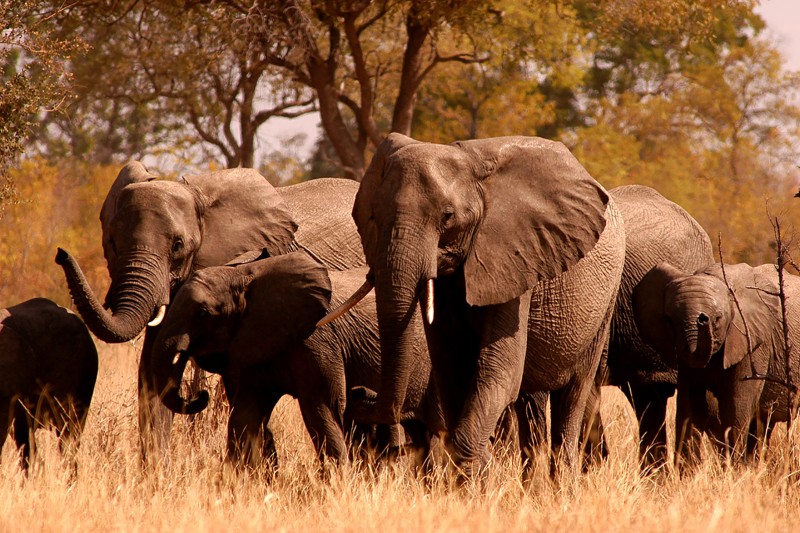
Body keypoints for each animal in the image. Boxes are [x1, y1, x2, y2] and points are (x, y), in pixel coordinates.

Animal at [149, 250, 443, 473]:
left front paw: (337, 486)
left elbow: (322, 409)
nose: (201, 395)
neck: (245, 275)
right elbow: (245, 414)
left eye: (202, 314)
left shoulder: (318, 340)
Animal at [336, 133, 626, 478]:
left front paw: (477, 472)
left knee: (573, 394)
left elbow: (499, 370)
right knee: (530, 403)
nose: (357, 393)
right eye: (373, 217)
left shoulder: (514, 256)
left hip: (605, 300)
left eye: (447, 216)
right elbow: (451, 367)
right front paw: (476, 473)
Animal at [633, 261, 800, 467]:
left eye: (718, 318)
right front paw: (689, 472)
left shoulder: (754, 342)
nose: (702, 318)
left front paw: (735, 469)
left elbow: (736, 405)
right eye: (670, 320)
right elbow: (689, 406)